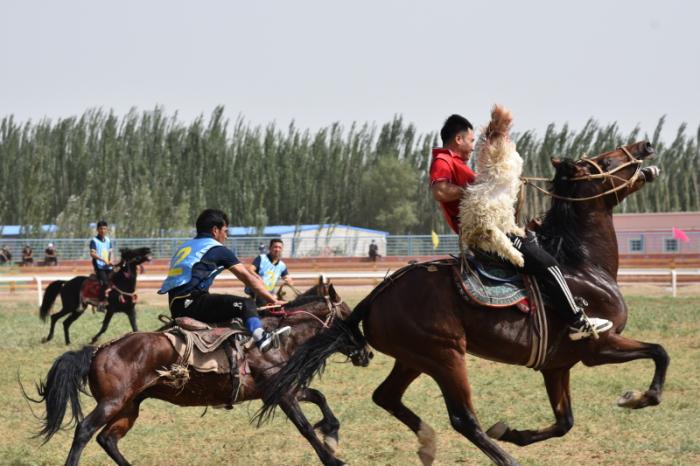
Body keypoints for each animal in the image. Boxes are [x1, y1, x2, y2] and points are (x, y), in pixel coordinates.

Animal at [262, 141, 668, 466]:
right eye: (601, 161)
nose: (646, 146)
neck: (580, 263)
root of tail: (382, 290)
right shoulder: (598, 348)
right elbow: (659, 352)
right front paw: (638, 397)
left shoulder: (557, 365)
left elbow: (564, 421)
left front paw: (513, 432)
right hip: (446, 356)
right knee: (463, 418)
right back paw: (502, 459)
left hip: (414, 357)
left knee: (386, 396)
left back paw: (428, 443)